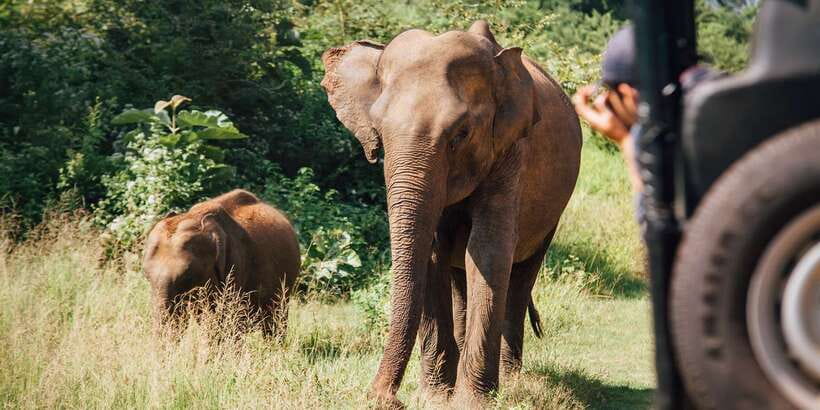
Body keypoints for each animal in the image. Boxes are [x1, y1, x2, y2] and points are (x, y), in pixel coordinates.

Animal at [321, 20, 581, 406]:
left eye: (461, 134)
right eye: (379, 133)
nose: (385, 398)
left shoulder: (511, 151)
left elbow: (487, 252)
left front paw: (472, 402)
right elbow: (432, 256)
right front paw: (434, 398)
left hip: (553, 212)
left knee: (521, 274)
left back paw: (512, 380)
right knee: (460, 277)